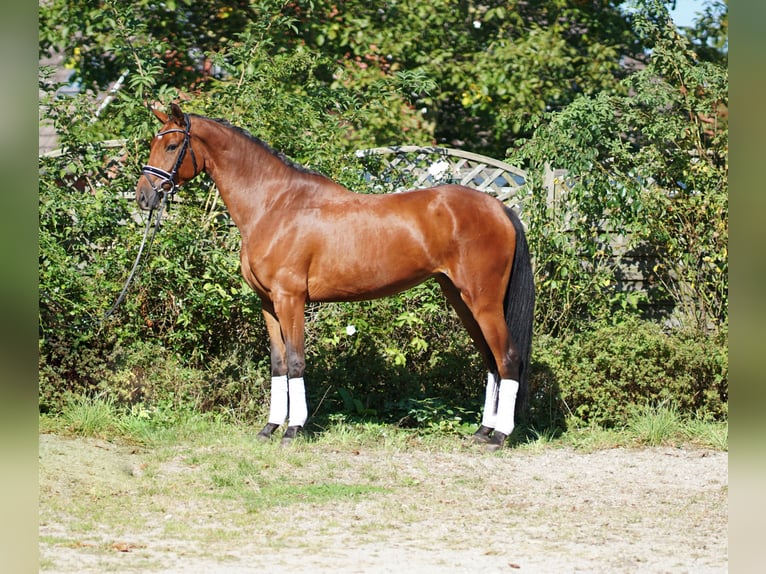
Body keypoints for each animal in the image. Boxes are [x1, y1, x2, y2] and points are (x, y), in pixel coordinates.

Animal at [136, 106, 536, 452]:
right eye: (153, 143)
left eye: (171, 145)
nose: (144, 196)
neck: (275, 205)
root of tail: (499, 207)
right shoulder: (267, 303)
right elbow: (278, 363)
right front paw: (270, 427)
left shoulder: (290, 299)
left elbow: (296, 361)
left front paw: (294, 429)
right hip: (460, 298)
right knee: (491, 360)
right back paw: (482, 431)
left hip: (483, 301)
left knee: (507, 356)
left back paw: (500, 436)